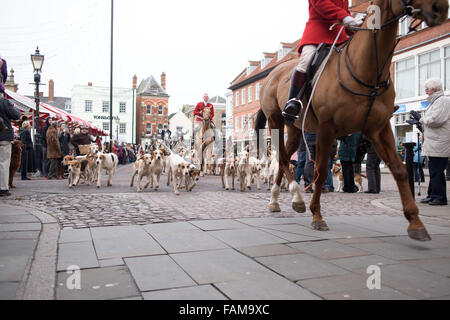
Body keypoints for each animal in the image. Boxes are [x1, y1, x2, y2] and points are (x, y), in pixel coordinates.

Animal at [255, 0, 448, 240]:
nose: (441, 8)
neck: (365, 70)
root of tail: (273, 74)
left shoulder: (379, 129)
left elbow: (400, 171)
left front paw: (415, 222)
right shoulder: (326, 128)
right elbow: (320, 172)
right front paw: (317, 216)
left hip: (296, 130)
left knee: (283, 159)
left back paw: (280, 201)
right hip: (276, 123)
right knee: (281, 157)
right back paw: (297, 197)